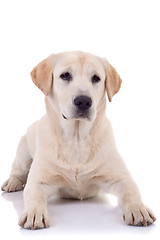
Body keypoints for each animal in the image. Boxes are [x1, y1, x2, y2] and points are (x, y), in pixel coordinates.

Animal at [1, 51, 156, 229]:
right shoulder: (38, 180)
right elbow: (33, 195)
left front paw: (139, 209)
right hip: (23, 150)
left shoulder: (121, 177)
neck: (76, 139)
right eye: (65, 75)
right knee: (18, 171)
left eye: (96, 78)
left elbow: (132, 190)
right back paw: (12, 182)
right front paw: (34, 213)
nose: (83, 101)